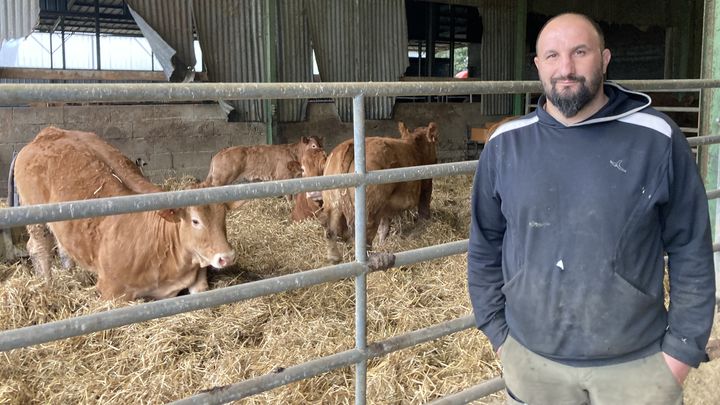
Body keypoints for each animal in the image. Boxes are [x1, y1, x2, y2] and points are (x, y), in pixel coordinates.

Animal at [13, 126, 239, 300]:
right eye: (195, 221)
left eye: (223, 217)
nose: (226, 257)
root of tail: (49, 132)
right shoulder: (110, 291)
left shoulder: (198, 280)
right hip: (34, 213)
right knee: (38, 246)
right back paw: (48, 284)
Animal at [322, 121, 438, 264]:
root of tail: (349, 146)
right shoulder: (426, 185)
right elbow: (423, 209)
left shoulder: (385, 206)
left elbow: (384, 225)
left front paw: (383, 243)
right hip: (369, 210)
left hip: (332, 204)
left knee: (330, 231)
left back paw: (334, 259)